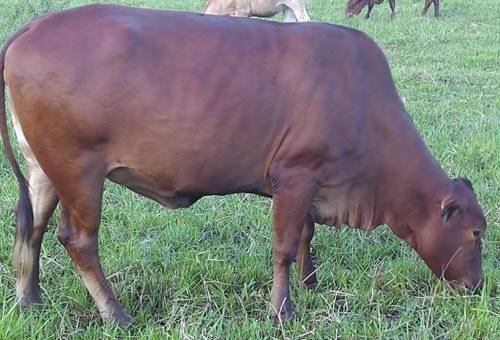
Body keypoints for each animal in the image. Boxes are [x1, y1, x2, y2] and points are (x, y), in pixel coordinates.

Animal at [0, 3, 484, 326]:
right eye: (477, 233)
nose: (477, 287)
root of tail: (33, 26)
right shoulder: (296, 174)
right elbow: (285, 246)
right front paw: (283, 309)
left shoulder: (311, 183)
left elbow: (305, 235)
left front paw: (310, 284)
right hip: (78, 170)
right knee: (77, 240)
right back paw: (115, 313)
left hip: (45, 168)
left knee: (32, 228)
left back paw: (30, 300)